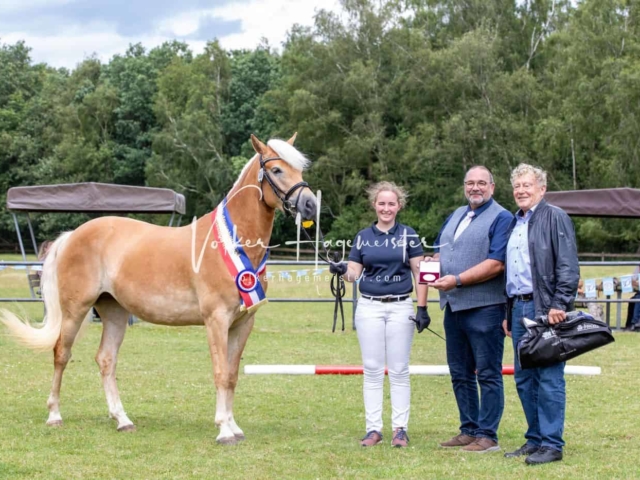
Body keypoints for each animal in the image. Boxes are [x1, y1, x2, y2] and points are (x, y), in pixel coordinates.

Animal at [0, 133, 318, 444]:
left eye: (300, 169)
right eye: (276, 170)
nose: (310, 205)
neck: (230, 242)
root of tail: (73, 235)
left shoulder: (243, 323)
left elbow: (232, 375)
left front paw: (234, 426)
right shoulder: (216, 320)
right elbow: (219, 373)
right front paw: (223, 430)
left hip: (114, 312)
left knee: (106, 360)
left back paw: (122, 420)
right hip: (75, 310)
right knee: (61, 354)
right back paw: (55, 415)